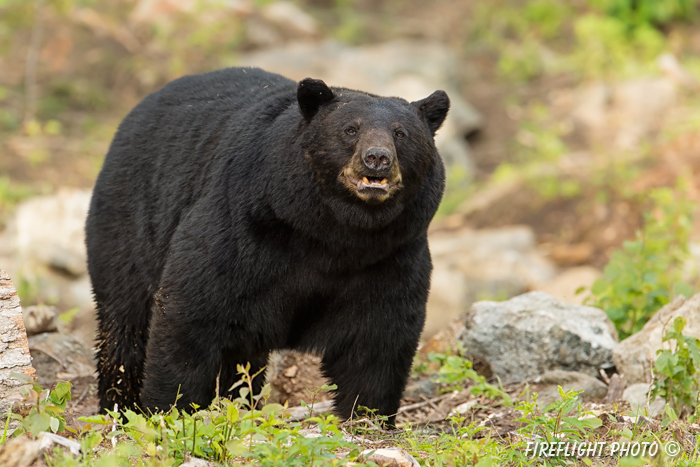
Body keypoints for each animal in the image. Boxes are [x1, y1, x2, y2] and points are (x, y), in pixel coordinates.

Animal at [86, 68, 448, 424]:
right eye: (350, 129)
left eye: (400, 133)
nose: (376, 158)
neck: (336, 235)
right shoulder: (241, 226)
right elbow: (190, 310)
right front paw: (170, 409)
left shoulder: (391, 256)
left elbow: (378, 338)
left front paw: (367, 415)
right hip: (129, 224)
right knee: (125, 323)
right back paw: (118, 406)